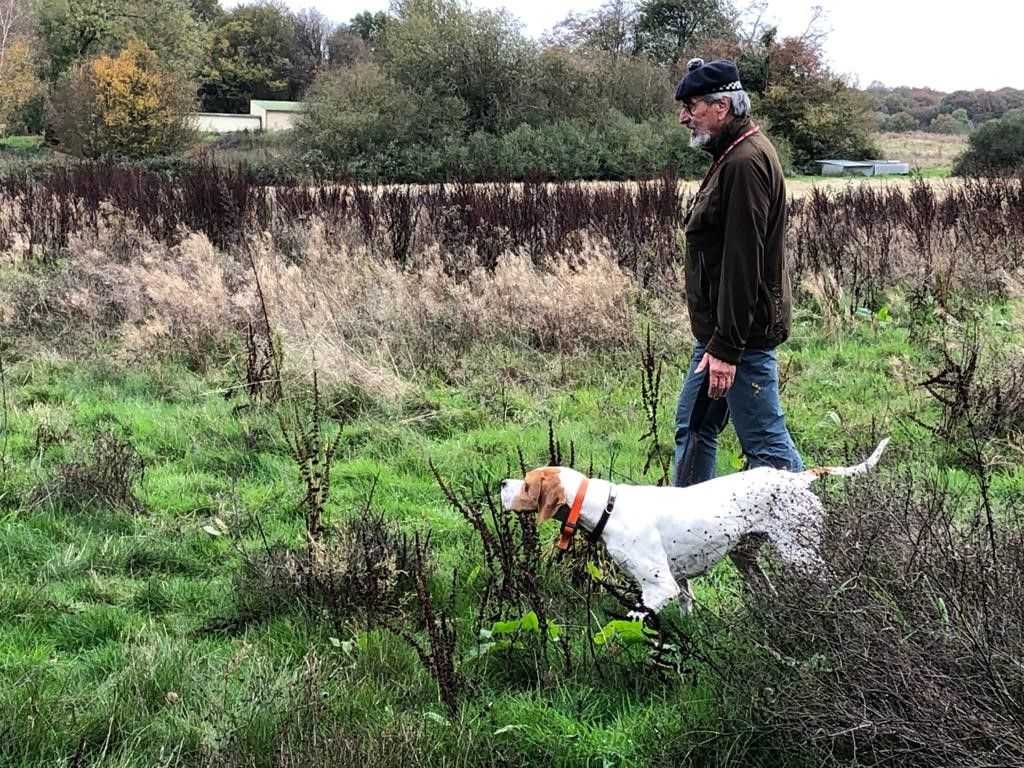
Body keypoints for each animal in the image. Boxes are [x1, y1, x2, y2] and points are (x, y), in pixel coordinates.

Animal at [501, 442, 888, 618]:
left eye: (526, 485)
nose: (502, 483)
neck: (608, 507)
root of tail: (797, 478)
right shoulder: (680, 582)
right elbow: (688, 608)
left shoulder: (659, 587)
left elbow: (632, 621)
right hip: (746, 559)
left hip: (801, 555)